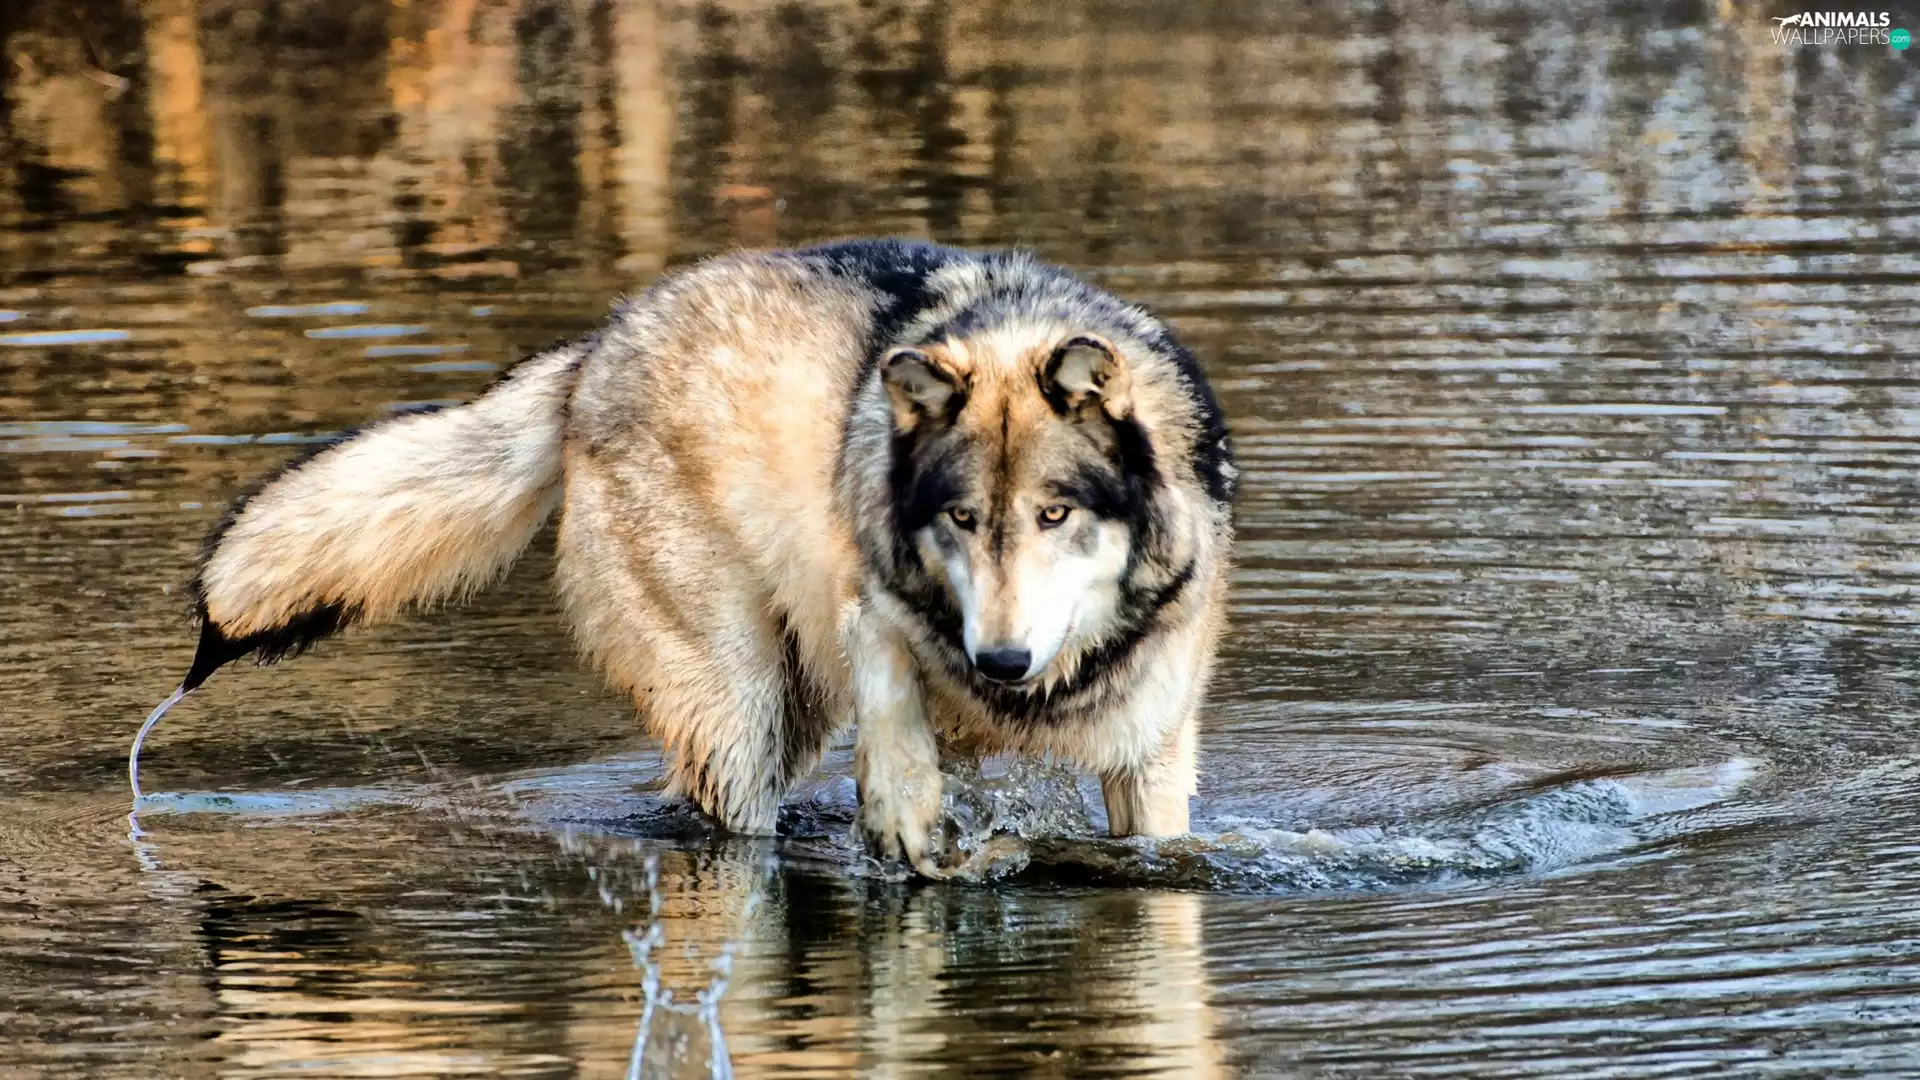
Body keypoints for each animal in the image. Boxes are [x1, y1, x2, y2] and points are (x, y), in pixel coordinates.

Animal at [178, 239, 1237, 873]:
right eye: (964, 520)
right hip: (743, 706)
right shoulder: (868, 600)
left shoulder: (1151, 756)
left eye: (1054, 514)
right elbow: (893, 694)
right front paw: (903, 814)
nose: (1002, 660)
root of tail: (598, 345)